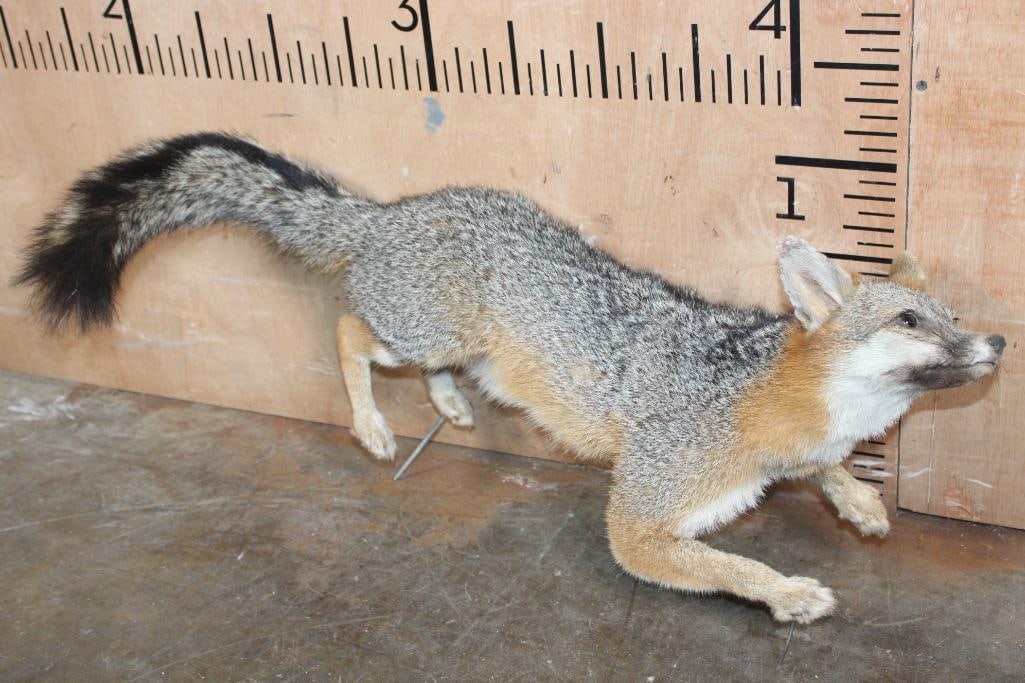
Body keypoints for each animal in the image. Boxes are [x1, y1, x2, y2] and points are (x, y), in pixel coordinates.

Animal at [14, 132, 1006, 622]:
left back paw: (450, 401)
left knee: (418, 358)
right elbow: (727, 561)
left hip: (459, 344)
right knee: (346, 327)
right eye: (912, 323)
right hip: (415, 332)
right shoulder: (640, 519)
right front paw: (789, 591)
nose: (996, 341)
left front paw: (860, 501)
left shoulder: (787, 450)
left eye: (950, 315)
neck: (767, 390)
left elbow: (822, 466)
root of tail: (390, 211)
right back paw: (372, 423)